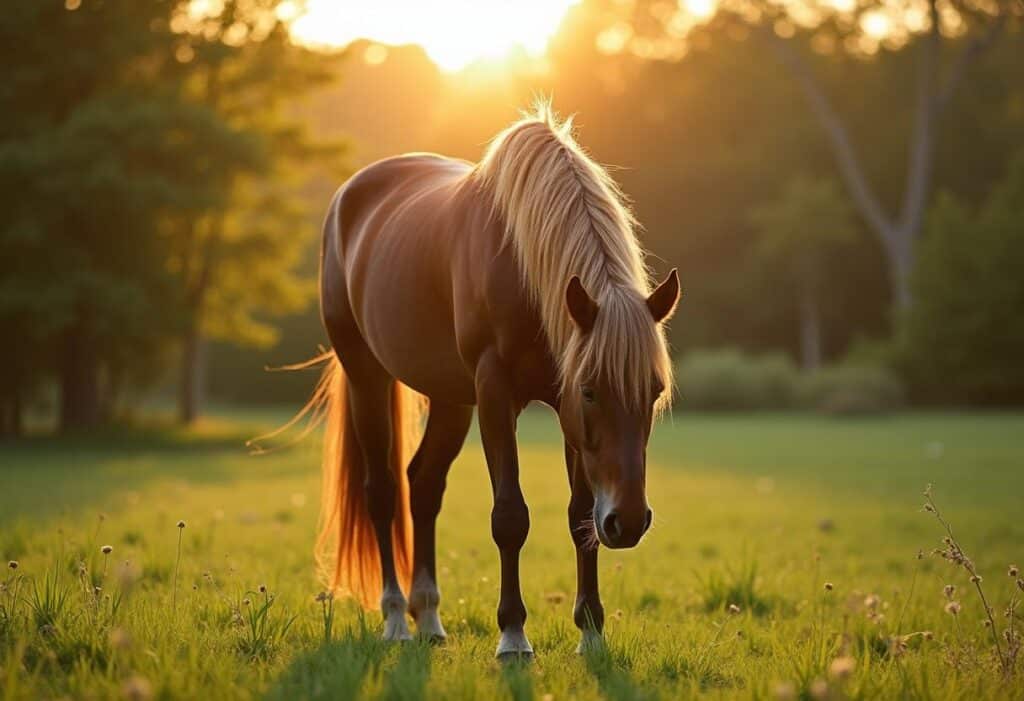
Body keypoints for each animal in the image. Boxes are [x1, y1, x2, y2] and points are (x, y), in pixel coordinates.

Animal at [296, 102, 679, 654]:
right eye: (591, 391)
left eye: (654, 391)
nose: (626, 523)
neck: (521, 263)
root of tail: (349, 198)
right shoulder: (499, 394)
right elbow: (510, 517)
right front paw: (514, 635)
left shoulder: (561, 409)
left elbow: (580, 516)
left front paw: (591, 633)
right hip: (366, 374)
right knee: (383, 491)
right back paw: (396, 619)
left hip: (452, 399)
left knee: (423, 485)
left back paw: (429, 617)